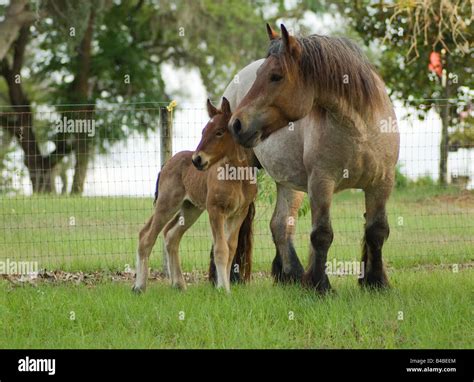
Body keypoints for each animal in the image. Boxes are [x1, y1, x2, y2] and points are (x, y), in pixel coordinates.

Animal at [133, 98, 258, 292]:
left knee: (170, 235)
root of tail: (166, 164)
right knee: (147, 237)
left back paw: (178, 284)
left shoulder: (239, 213)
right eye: (203, 131)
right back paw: (139, 286)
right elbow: (220, 249)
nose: (197, 160)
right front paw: (223, 290)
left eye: (219, 132)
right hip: (167, 203)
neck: (237, 177)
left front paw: (225, 286)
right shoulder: (215, 210)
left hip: (190, 209)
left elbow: (230, 248)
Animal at [228, 24, 398, 292]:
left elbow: (377, 231)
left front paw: (376, 283)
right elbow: (322, 234)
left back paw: (293, 276)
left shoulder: (381, 183)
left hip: (288, 184)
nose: (236, 124)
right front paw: (320, 285)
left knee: (280, 224)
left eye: (276, 76)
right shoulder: (321, 182)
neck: (360, 130)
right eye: (260, 75)